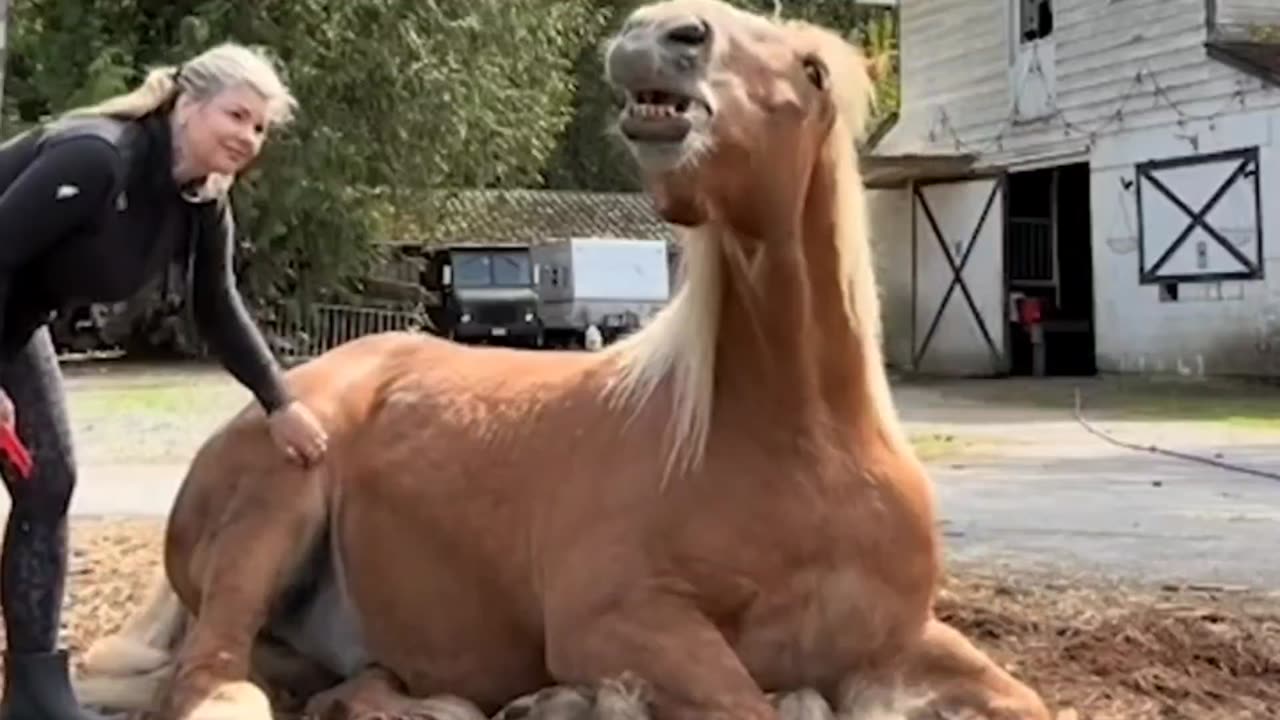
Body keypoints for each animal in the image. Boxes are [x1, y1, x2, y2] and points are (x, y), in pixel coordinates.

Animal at [67, 1, 1049, 717]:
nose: (663, 32)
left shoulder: (901, 637)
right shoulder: (619, 623)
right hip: (277, 498)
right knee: (212, 683)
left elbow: (1027, 701)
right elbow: (750, 705)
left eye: (809, 71)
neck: (805, 449)